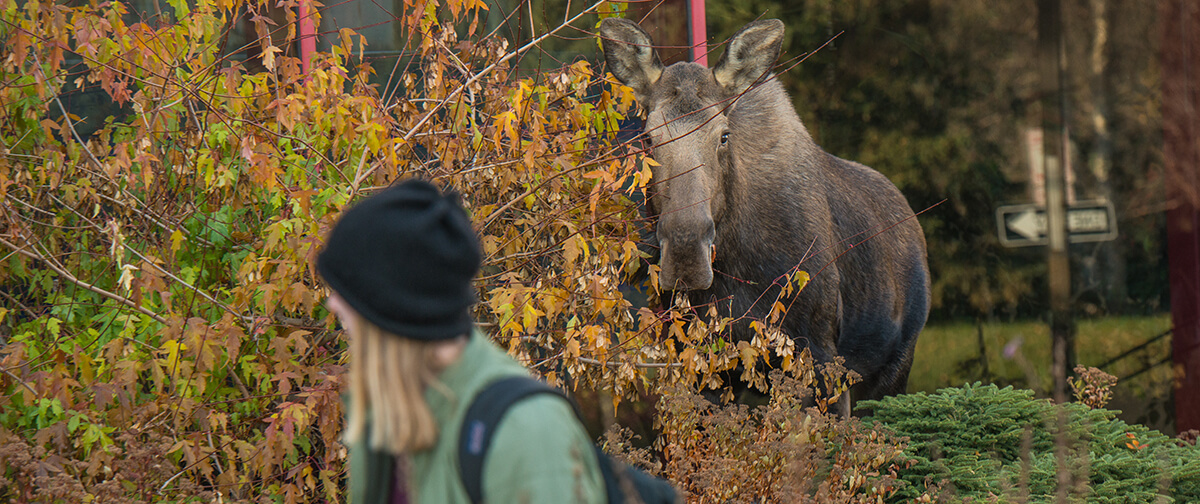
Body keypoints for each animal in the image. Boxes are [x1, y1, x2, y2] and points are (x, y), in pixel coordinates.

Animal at [604, 18, 931, 412]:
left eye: (724, 135)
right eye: (648, 139)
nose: (686, 253)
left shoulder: (821, 356)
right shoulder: (700, 363)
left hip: (895, 368)